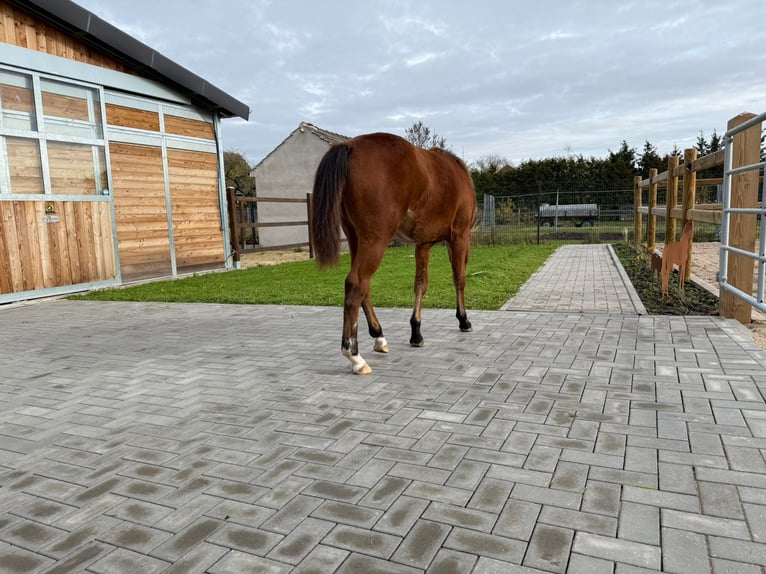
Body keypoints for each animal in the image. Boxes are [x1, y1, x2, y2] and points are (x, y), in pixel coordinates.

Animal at [311, 132, 477, 375]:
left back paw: (379, 337)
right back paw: (355, 357)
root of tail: (350, 146)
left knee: (364, 288)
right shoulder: (459, 237)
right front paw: (463, 320)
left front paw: (416, 333)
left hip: (355, 238)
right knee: (356, 284)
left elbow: (420, 284)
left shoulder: (423, 243)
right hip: (376, 240)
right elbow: (459, 279)